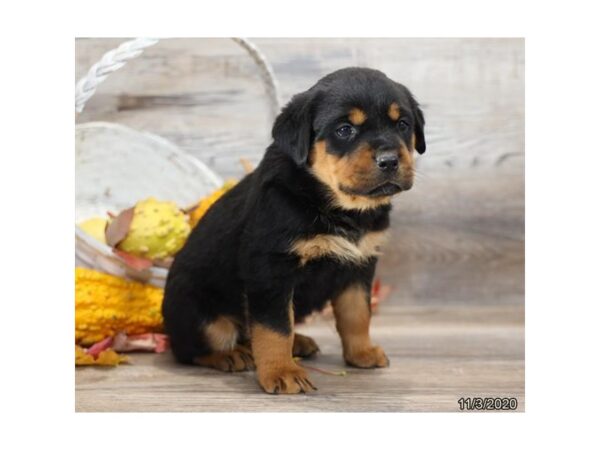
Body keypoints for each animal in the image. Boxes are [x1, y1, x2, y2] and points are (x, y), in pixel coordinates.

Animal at [163, 67, 426, 394]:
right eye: (344, 130)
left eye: (402, 125)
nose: (389, 160)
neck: (336, 206)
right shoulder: (271, 269)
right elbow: (274, 328)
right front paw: (281, 372)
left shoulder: (360, 265)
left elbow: (357, 314)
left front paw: (362, 353)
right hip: (198, 312)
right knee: (193, 348)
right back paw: (231, 355)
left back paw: (297, 342)